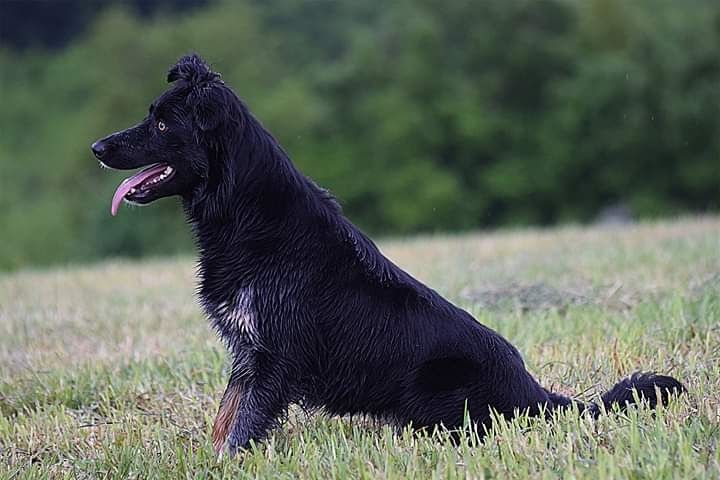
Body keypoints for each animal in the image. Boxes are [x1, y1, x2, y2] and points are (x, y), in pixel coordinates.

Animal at [91, 54, 688, 456]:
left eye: (162, 124)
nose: (96, 148)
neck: (247, 212)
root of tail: (532, 392)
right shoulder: (249, 352)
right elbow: (226, 415)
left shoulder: (271, 356)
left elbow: (240, 426)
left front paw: (226, 464)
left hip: (434, 394)